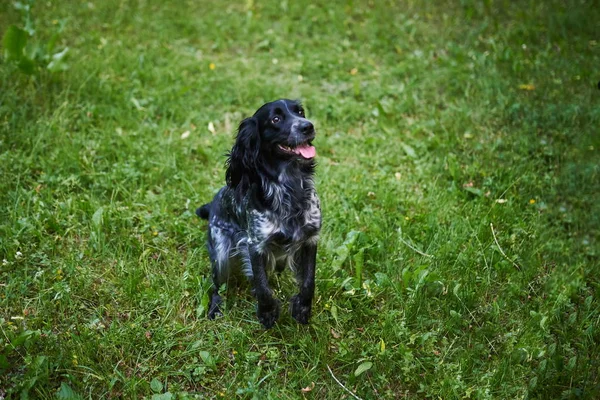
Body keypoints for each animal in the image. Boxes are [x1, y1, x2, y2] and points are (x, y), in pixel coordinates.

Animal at [196, 99, 318, 328]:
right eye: (276, 119)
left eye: (300, 112)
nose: (308, 126)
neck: (289, 189)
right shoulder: (255, 245)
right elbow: (262, 287)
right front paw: (267, 313)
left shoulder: (310, 239)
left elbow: (309, 282)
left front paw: (302, 309)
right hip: (221, 253)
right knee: (216, 286)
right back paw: (215, 308)